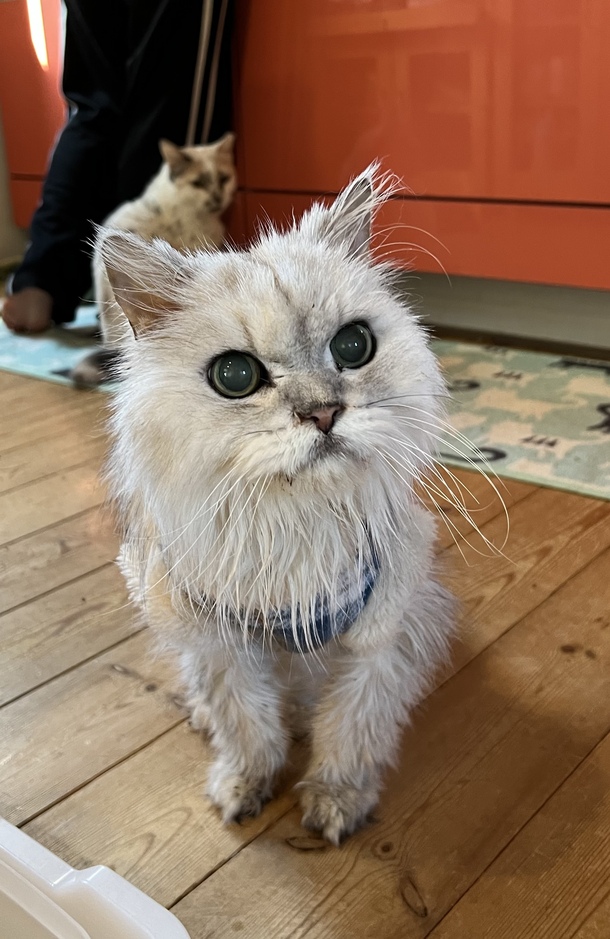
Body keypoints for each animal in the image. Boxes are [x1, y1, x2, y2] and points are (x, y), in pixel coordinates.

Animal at [100, 167, 454, 844]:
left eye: (354, 346)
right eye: (235, 376)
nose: (324, 412)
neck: (295, 526)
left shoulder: (373, 644)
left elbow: (349, 731)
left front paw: (336, 801)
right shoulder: (222, 649)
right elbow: (247, 728)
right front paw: (243, 787)